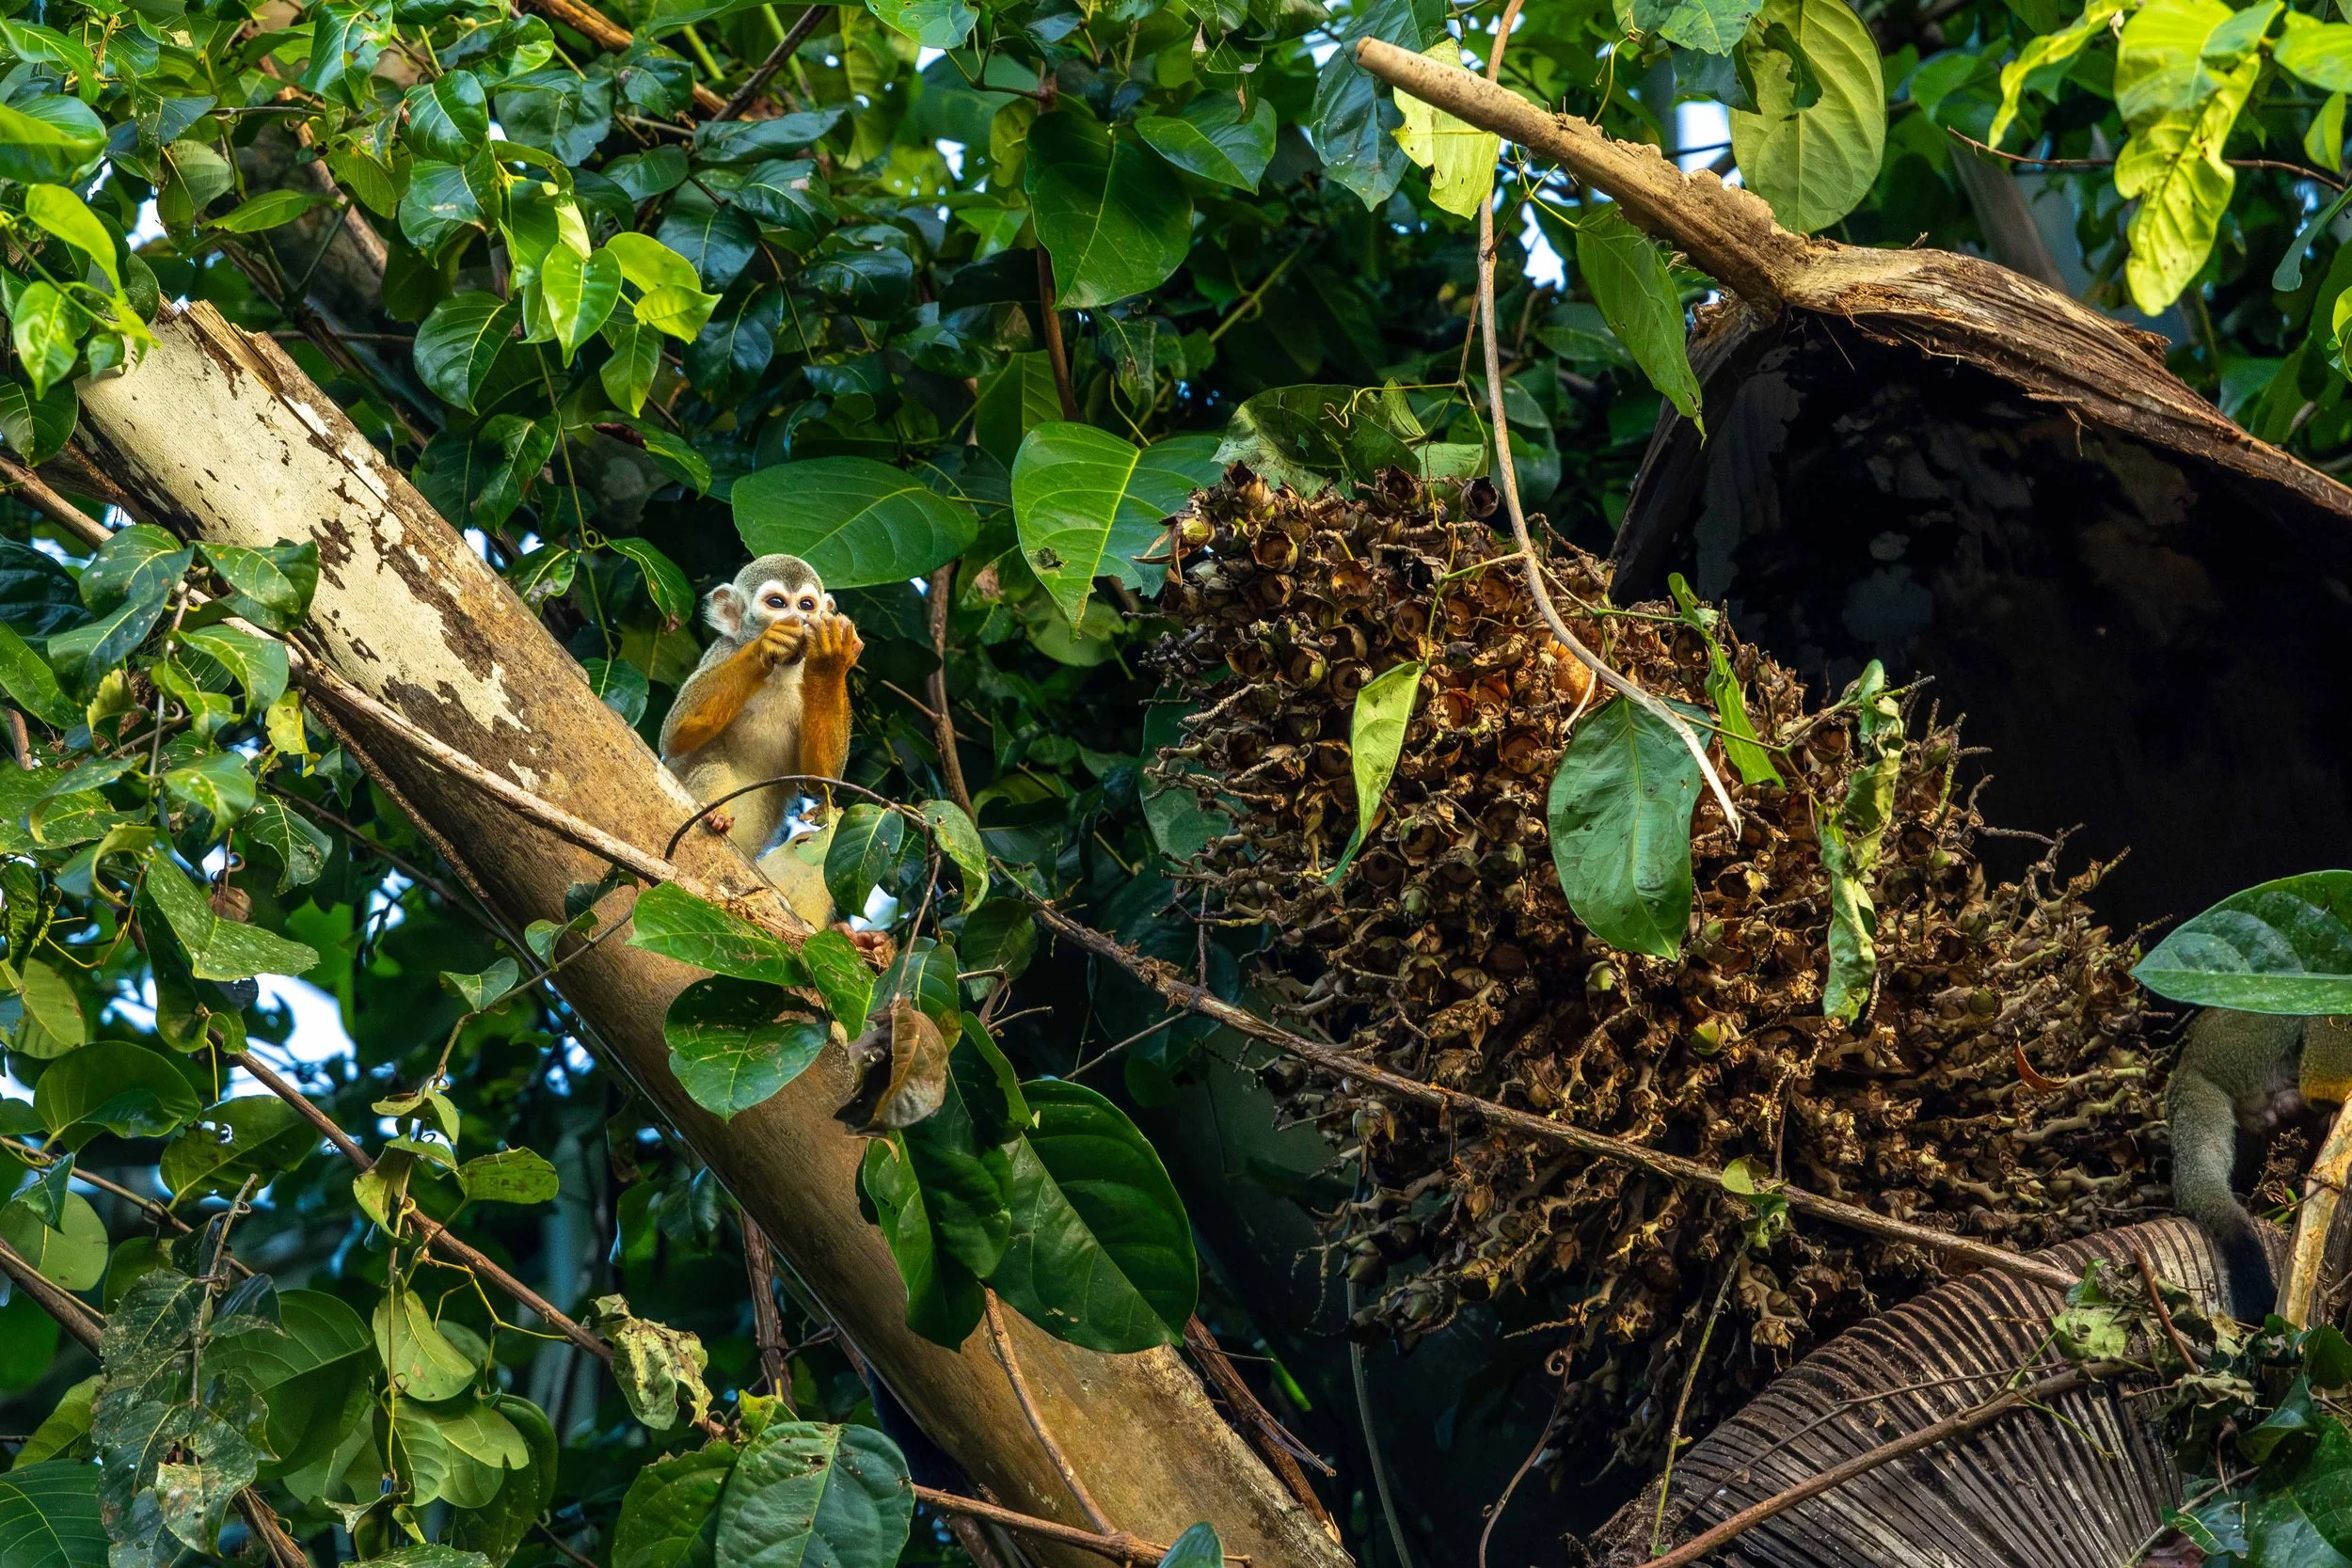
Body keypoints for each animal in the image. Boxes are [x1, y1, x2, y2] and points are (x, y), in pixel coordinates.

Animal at [659, 553, 863, 864]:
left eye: (806, 605)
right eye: (777, 603)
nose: (800, 618)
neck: (780, 673)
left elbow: (820, 781)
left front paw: (831, 659)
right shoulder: (724, 651)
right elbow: (673, 737)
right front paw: (766, 645)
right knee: (713, 768)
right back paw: (717, 816)